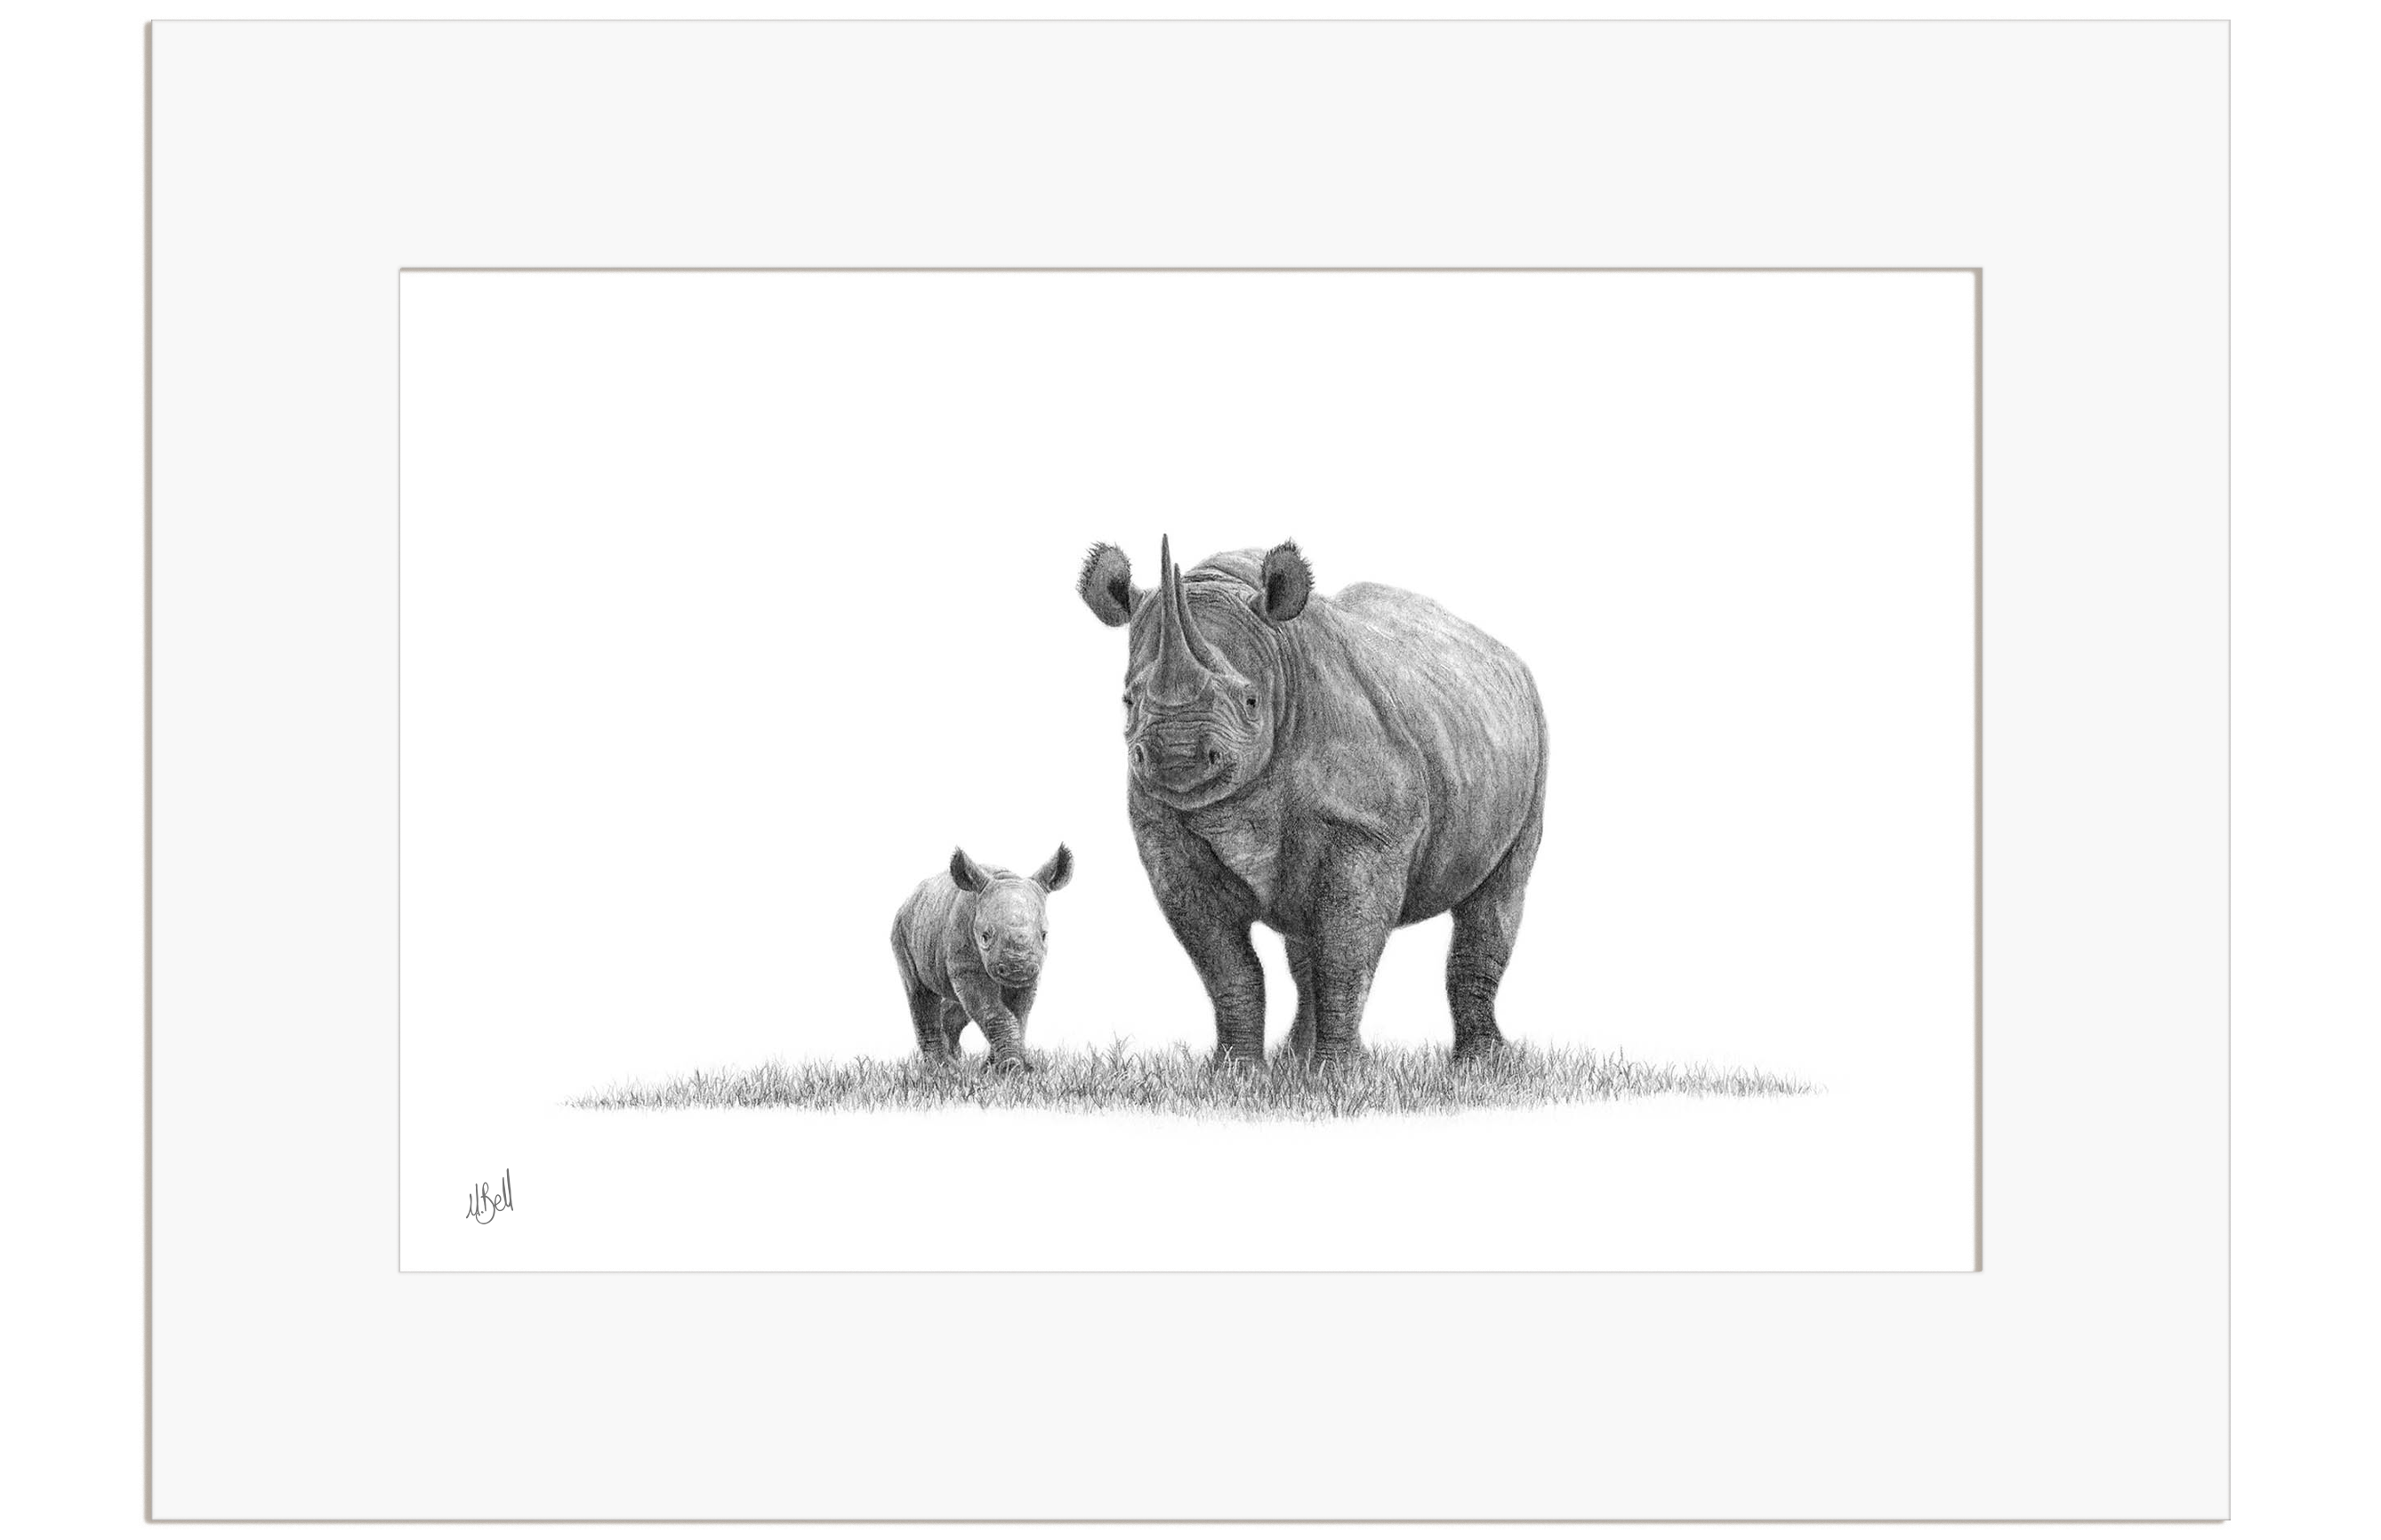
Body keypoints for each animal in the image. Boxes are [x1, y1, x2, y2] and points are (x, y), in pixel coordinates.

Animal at [890, 845, 1073, 1069]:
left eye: (1045, 935)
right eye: (985, 937)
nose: (1018, 969)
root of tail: (910, 898)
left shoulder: (1032, 973)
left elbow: (1019, 1015)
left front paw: (997, 1068)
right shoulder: (966, 964)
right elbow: (992, 1012)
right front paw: (1011, 1067)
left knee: (956, 1004)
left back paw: (954, 1060)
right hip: (901, 929)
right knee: (918, 991)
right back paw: (941, 1068)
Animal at [1077, 538, 1547, 1065]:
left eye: (1251, 702)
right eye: (1127, 701)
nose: (1176, 755)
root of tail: (1506, 656)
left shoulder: (1368, 829)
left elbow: (1345, 954)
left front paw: (1343, 1073)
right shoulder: (1166, 836)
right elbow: (1226, 964)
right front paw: (1237, 1072)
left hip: (1533, 738)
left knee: (1499, 894)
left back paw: (1482, 1063)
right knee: (1303, 939)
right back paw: (1295, 1061)